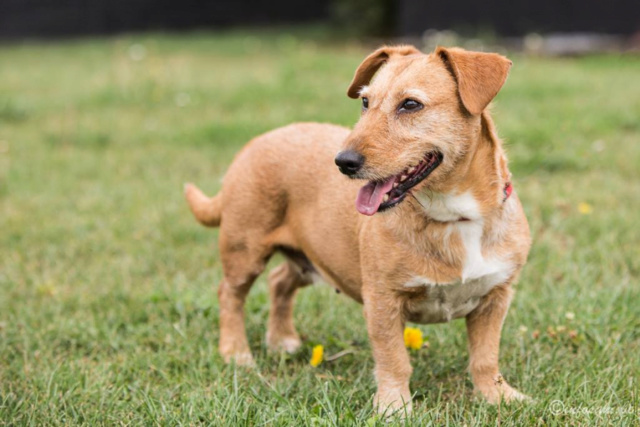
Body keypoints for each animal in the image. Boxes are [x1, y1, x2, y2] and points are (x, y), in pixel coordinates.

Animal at [184, 44, 528, 414]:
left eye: (411, 104)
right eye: (365, 101)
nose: (343, 162)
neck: (453, 216)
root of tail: (259, 140)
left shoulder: (496, 297)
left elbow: (485, 357)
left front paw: (497, 395)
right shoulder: (382, 300)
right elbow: (393, 359)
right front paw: (394, 406)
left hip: (310, 257)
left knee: (279, 282)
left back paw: (282, 340)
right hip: (244, 250)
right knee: (230, 295)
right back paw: (236, 353)